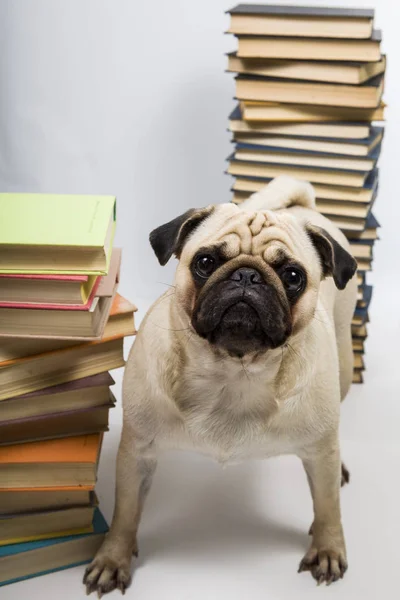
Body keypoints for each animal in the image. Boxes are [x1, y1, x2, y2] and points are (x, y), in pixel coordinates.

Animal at [83, 176, 356, 592]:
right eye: (206, 262)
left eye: (293, 276)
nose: (247, 275)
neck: (233, 373)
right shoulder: (138, 454)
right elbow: (126, 513)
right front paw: (113, 558)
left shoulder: (320, 452)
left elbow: (328, 508)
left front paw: (327, 548)